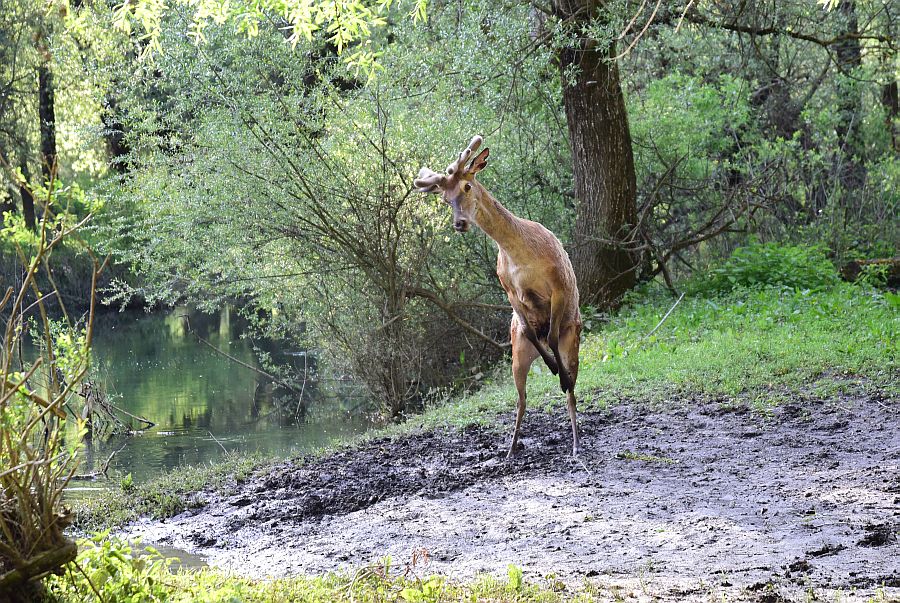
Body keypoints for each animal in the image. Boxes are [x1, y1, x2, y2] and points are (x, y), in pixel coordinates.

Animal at [414, 136, 584, 458]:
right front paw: (552, 366)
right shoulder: (509, 290)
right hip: (518, 358)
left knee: (572, 390)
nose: (459, 223)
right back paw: (511, 448)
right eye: (445, 199)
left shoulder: (558, 283)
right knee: (521, 399)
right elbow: (529, 330)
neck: (522, 256)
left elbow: (552, 336)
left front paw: (559, 374)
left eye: (467, 186)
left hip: (575, 337)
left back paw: (575, 441)